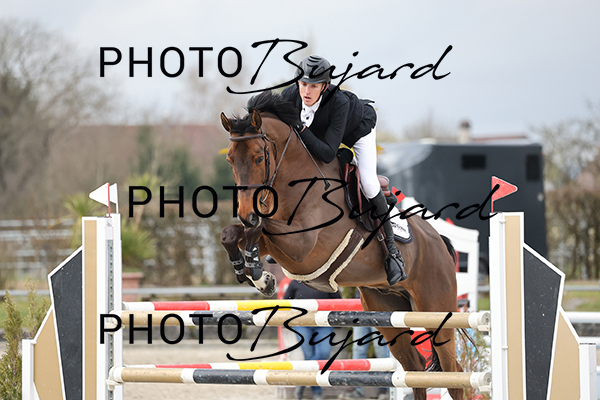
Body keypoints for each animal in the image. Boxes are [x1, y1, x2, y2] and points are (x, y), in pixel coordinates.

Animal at [219, 91, 464, 400]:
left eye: (259, 157)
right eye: (230, 160)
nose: (246, 213)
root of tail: (440, 242)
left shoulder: (302, 246)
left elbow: (259, 229)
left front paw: (257, 271)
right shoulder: (278, 244)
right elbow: (233, 233)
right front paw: (255, 273)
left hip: (436, 310)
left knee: (454, 375)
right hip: (386, 308)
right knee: (416, 371)